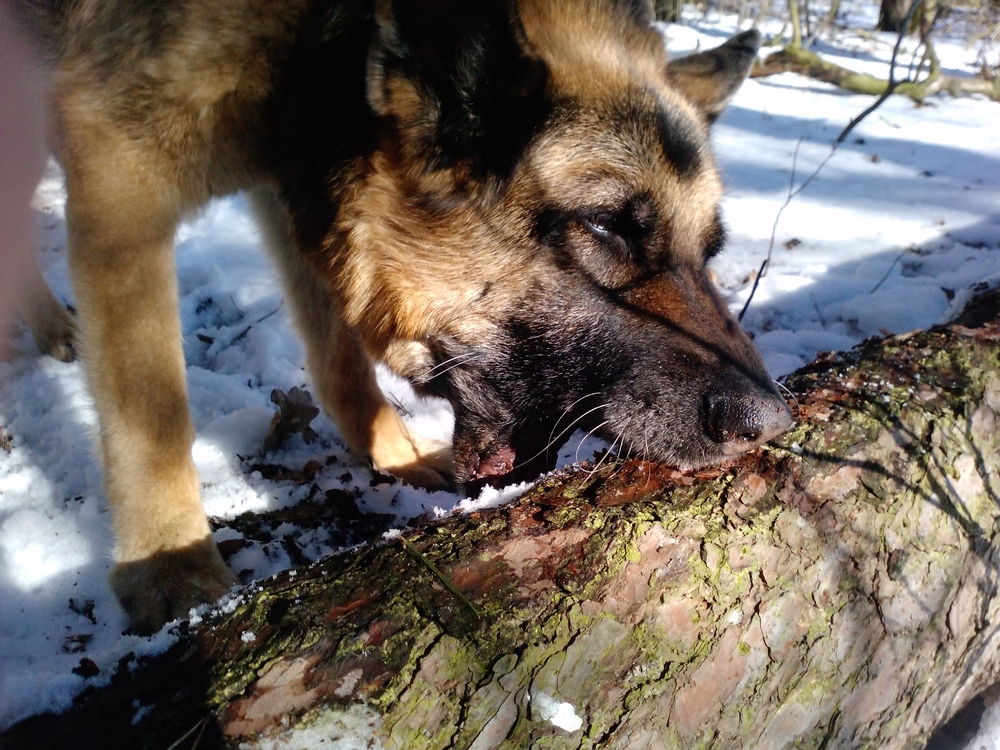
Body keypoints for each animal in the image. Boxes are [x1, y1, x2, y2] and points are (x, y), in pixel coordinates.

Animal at [13, 0, 788, 636]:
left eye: (709, 251)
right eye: (605, 227)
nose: (772, 422)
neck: (321, 46)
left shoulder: (297, 193)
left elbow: (337, 355)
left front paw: (395, 452)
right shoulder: (122, 183)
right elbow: (151, 405)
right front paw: (170, 564)